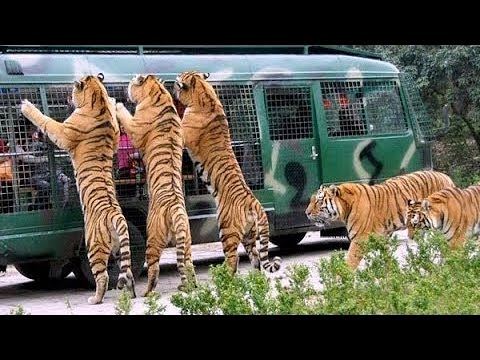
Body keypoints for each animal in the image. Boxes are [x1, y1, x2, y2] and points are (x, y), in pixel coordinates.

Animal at [19, 73, 136, 304]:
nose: (66, 97)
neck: (98, 101)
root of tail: (116, 215)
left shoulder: (63, 131)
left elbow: (46, 121)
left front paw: (27, 106)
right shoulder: (115, 137)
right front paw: (114, 102)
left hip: (93, 245)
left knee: (103, 276)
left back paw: (95, 299)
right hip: (121, 247)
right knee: (128, 272)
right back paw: (133, 294)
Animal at [115, 74, 197, 296]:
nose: (124, 89)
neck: (158, 92)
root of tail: (176, 209)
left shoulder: (135, 127)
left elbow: (125, 116)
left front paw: (117, 104)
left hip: (152, 236)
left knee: (154, 268)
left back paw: (147, 292)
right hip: (186, 239)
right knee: (188, 264)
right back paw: (190, 286)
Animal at [172, 70, 282, 272]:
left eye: (177, 83)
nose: (173, 90)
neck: (204, 93)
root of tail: (255, 204)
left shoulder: (182, 135)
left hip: (226, 230)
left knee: (233, 259)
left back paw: (224, 274)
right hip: (249, 235)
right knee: (256, 259)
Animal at [306, 171, 456, 270]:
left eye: (319, 200)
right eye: (311, 200)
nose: (306, 213)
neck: (345, 207)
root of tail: (447, 177)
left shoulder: (359, 240)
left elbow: (349, 262)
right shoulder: (381, 239)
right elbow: (387, 260)